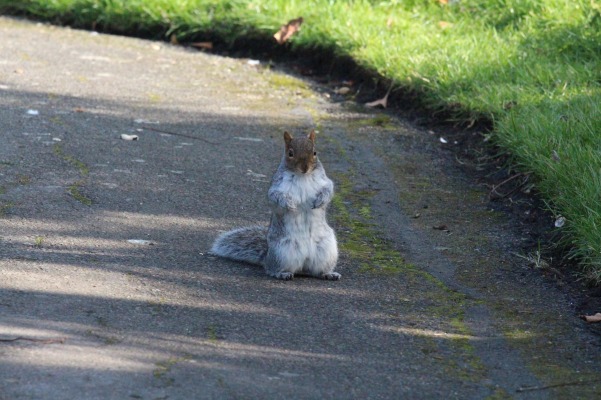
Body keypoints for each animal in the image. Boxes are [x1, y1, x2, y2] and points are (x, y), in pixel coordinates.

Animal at [210, 130, 338, 280]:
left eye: (314, 152)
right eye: (290, 153)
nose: (305, 168)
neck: (303, 176)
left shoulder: (324, 181)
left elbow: (329, 189)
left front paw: (321, 200)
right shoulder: (277, 186)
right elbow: (275, 197)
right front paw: (290, 204)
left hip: (326, 250)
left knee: (317, 271)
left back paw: (329, 273)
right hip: (282, 252)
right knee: (273, 269)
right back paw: (282, 273)